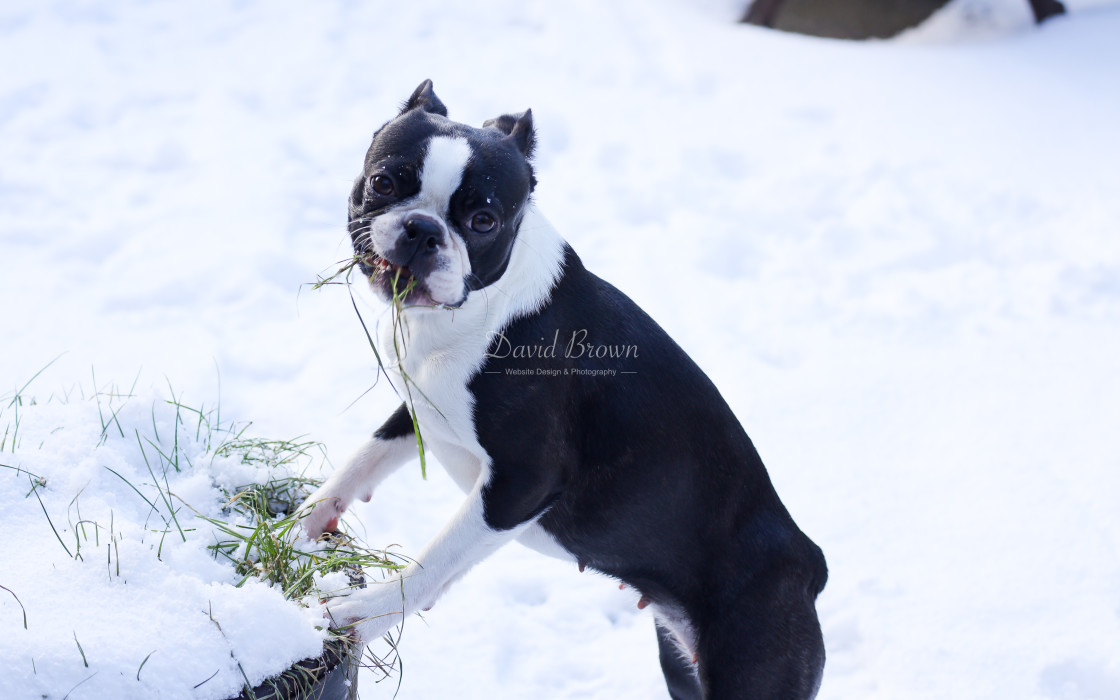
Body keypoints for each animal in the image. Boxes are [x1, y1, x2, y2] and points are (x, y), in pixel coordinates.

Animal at [302, 80, 828, 694]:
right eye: (384, 183)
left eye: (484, 220)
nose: (422, 229)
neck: (482, 308)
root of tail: (809, 565)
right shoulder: (420, 410)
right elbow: (363, 459)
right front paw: (300, 523)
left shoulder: (523, 483)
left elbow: (436, 558)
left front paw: (361, 613)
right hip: (682, 669)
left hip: (752, 660)